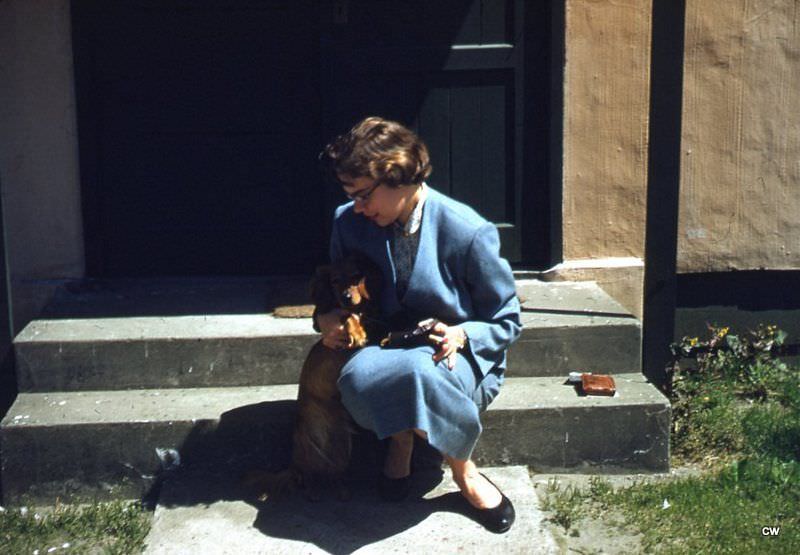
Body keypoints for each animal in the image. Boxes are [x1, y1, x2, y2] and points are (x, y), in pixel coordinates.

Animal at [242, 253, 382, 504]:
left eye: (356, 276)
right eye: (335, 281)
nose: (346, 297)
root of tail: (293, 465)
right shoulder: (342, 315)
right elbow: (347, 316)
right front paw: (356, 332)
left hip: (341, 444)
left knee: (332, 473)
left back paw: (341, 490)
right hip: (318, 445)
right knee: (308, 476)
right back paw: (313, 493)